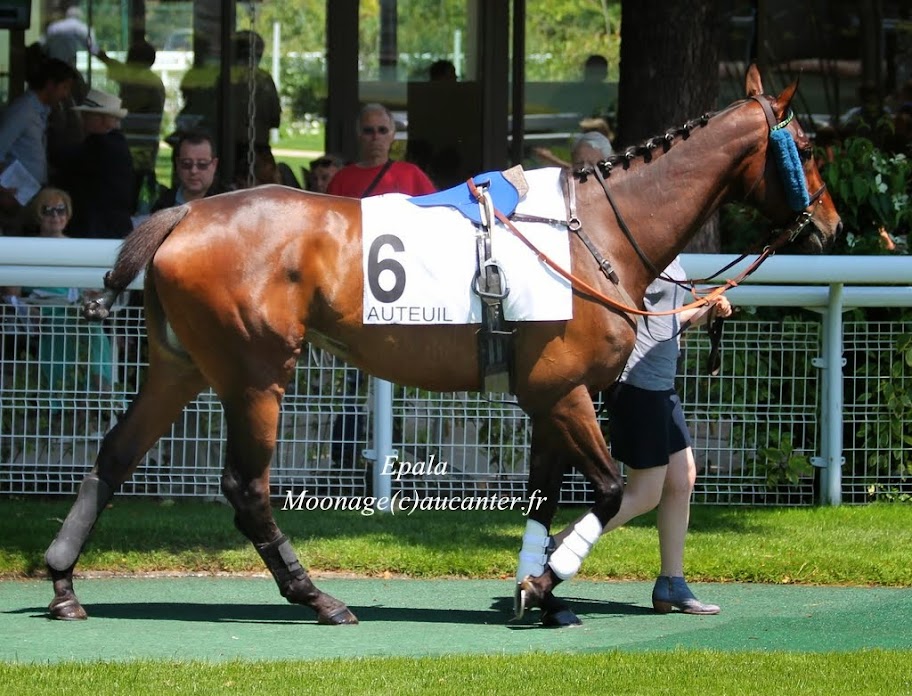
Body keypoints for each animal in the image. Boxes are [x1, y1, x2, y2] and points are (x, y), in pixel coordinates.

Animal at [42, 65, 840, 624]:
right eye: (804, 145)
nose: (831, 224)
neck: (591, 233)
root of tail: (184, 214)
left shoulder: (549, 397)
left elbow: (543, 496)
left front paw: (540, 591)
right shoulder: (563, 391)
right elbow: (612, 491)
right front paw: (544, 581)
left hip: (180, 368)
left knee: (113, 457)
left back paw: (62, 580)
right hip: (256, 376)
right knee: (246, 488)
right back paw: (316, 597)